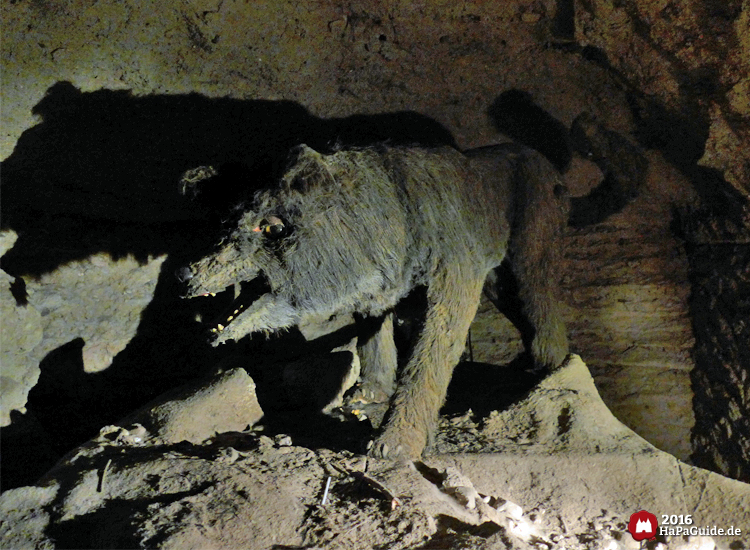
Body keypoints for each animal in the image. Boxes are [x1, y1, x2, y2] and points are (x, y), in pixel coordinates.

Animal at [177, 141, 574, 459]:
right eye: (227, 224)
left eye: (273, 228)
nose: (185, 274)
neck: (395, 218)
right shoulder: (378, 294)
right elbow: (374, 342)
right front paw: (370, 394)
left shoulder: (454, 280)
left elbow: (429, 359)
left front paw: (397, 442)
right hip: (497, 281)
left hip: (527, 260)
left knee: (541, 302)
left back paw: (550, 370)